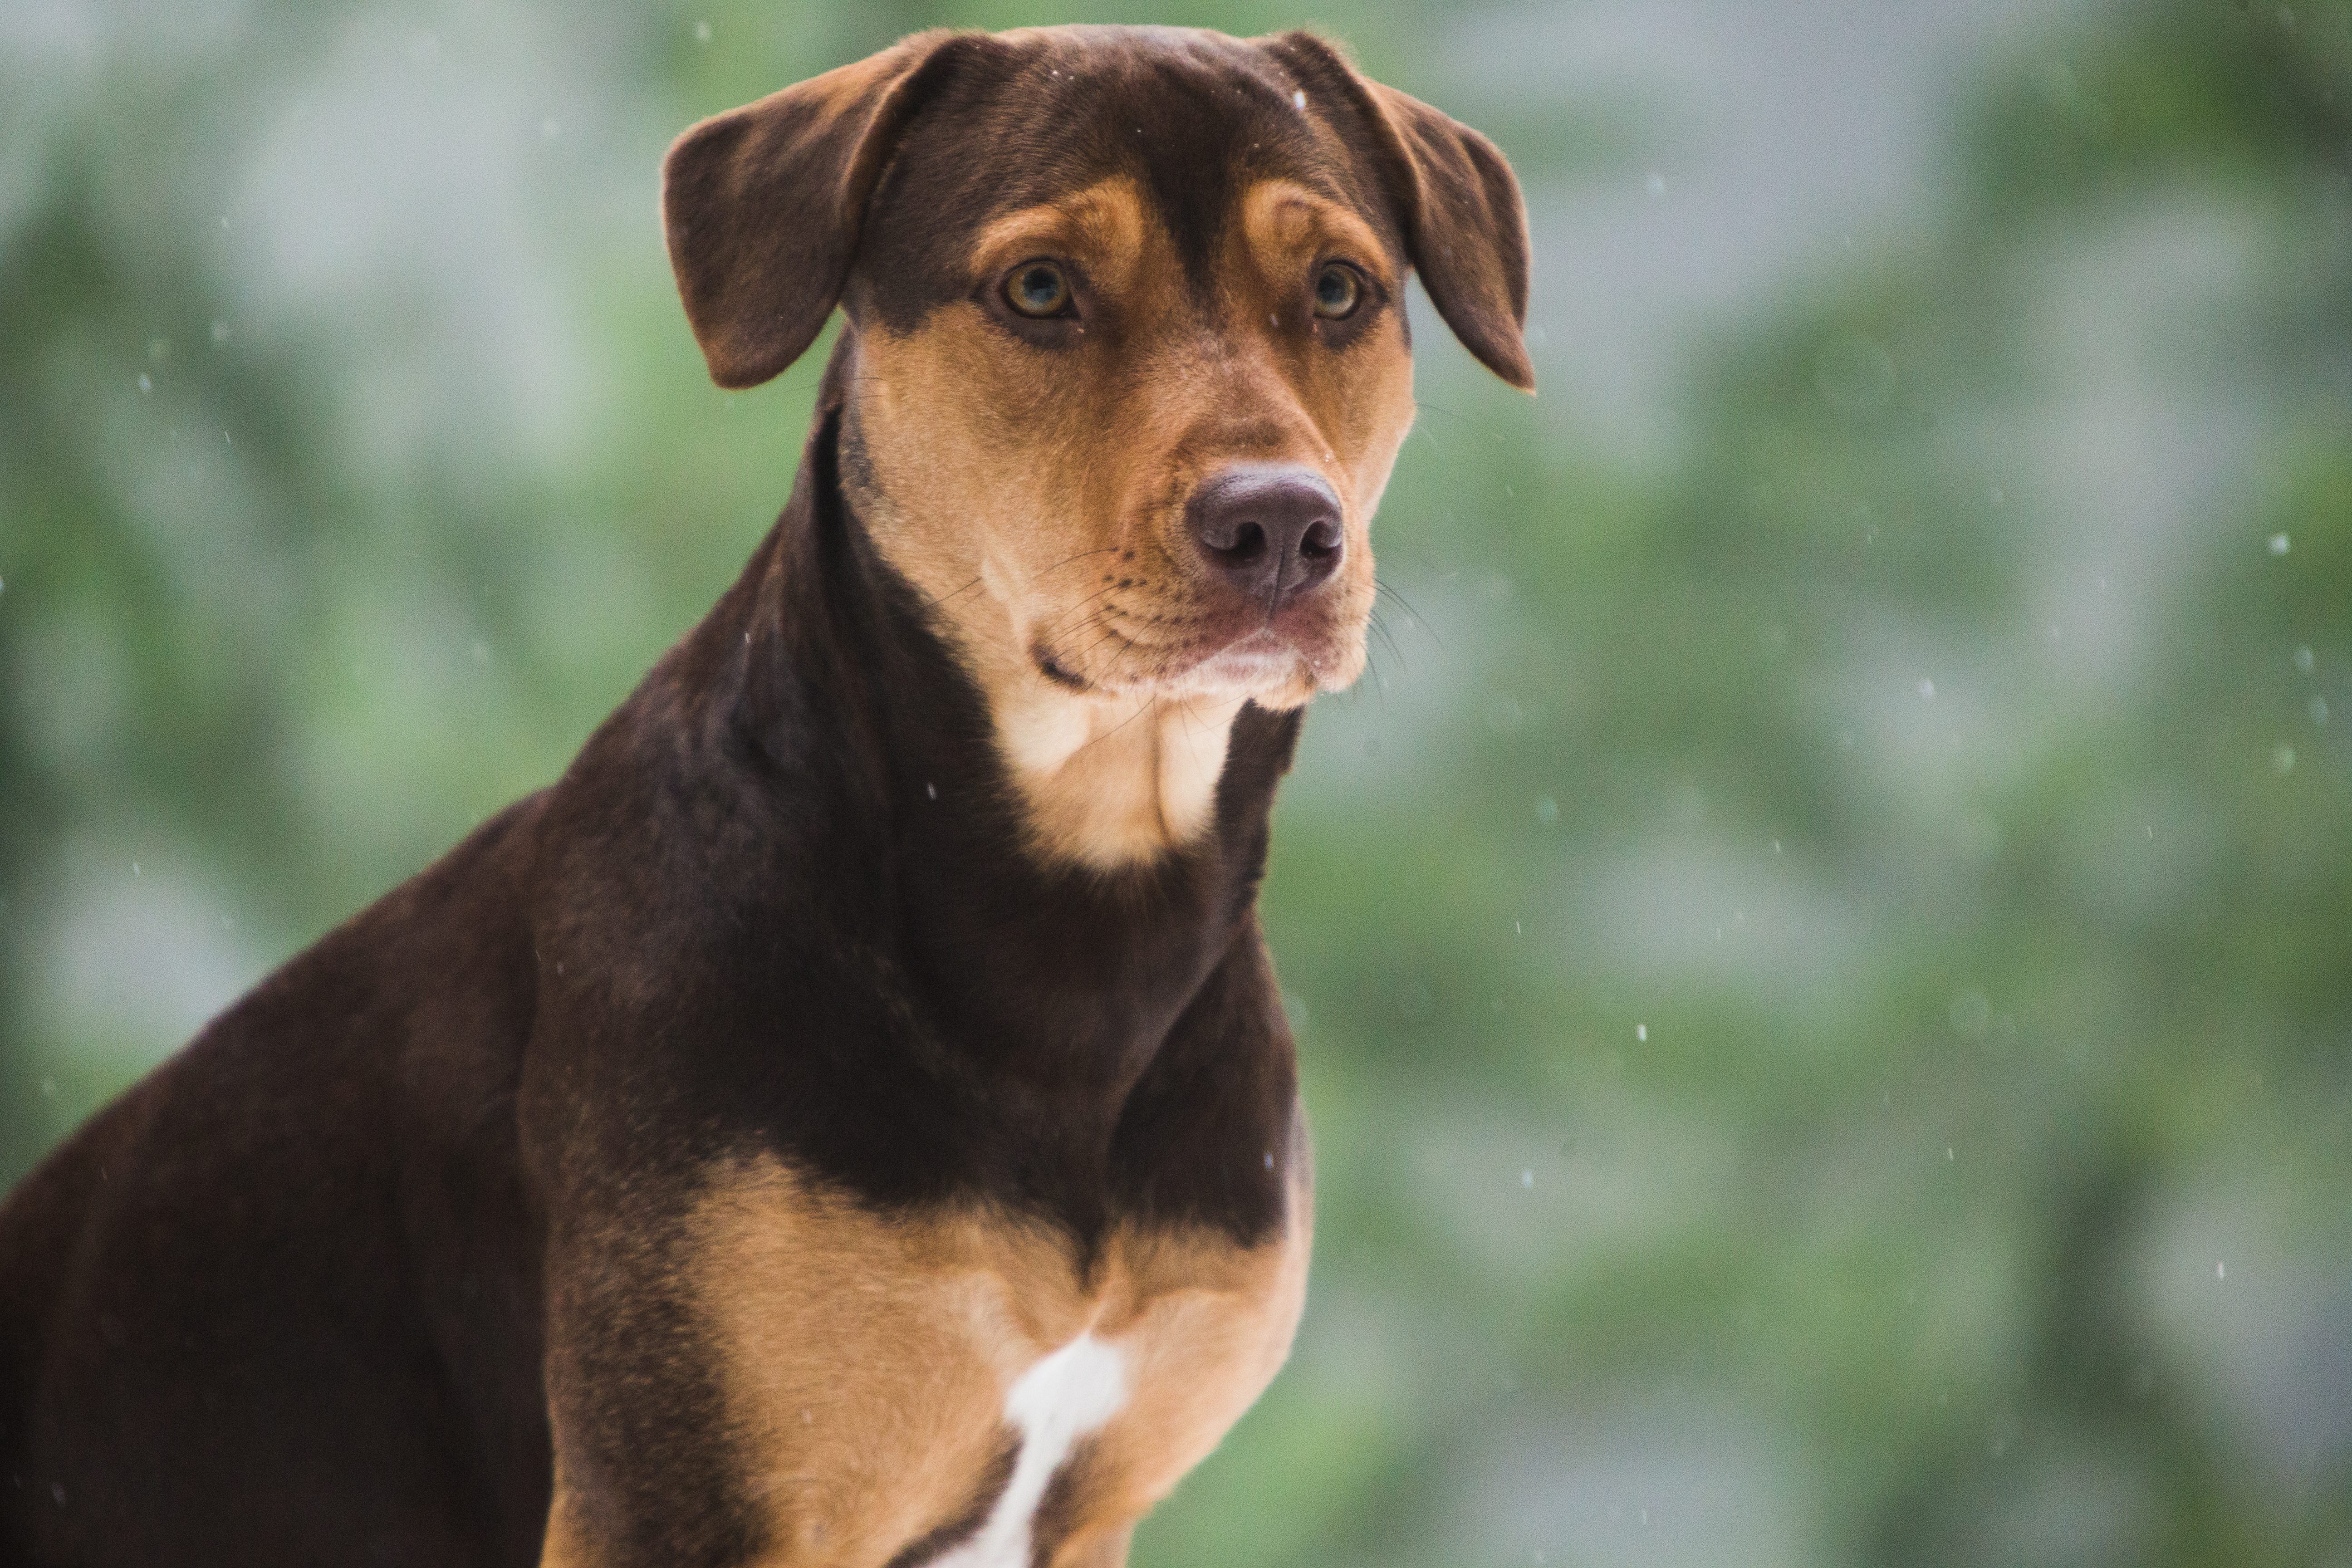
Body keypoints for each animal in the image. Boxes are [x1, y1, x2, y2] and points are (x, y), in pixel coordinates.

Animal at [0, 24, 1533, 1568]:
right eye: (1040, 288)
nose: (1278, 524)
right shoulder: (682, 1490)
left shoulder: (1086, 1506)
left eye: (1338, 289)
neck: (1080, 936)